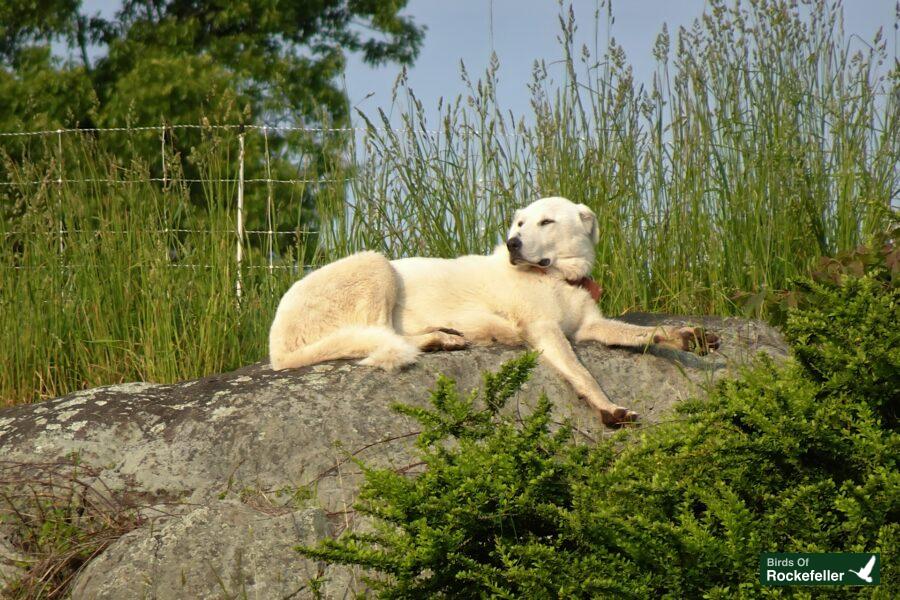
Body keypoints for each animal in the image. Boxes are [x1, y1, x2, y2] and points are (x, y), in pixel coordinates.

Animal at [268, 197, 716, 426]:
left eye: (545, 222)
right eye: (519, 224)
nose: (513, 243)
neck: (558, 276)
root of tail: (276, 350)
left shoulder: (591, 327)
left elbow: (646, 334)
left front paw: (686, 336)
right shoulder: (545, 331)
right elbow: (583, 374)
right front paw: (607, 408)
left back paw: (443, 337)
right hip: (374, 264)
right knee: (383, 339)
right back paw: (439, 338)